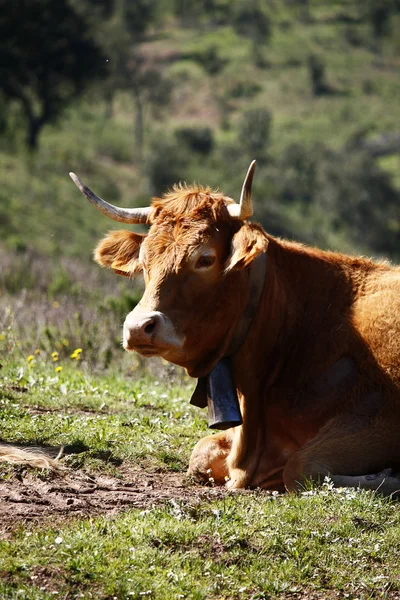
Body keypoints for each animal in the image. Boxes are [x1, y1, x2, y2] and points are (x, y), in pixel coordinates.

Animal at [70, 162, 400, 494]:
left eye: (205, 258)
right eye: (144, 259)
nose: (139, 327)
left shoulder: (382, 420)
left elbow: (301, 468)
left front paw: (387, 476)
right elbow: (201, 453)